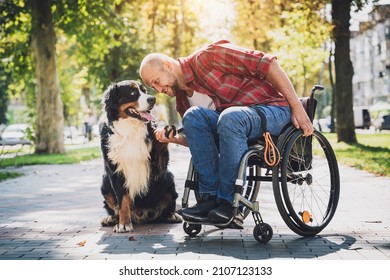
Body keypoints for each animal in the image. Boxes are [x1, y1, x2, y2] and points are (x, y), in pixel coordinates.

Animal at [99, 80, 181, 233]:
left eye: (145, 91)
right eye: (132, 92)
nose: (153, 99)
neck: (130, 130)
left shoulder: (156, 167)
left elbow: (160, 145)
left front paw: (164, 132)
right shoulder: (115, 171)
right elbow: (123, 201)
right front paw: (124, 224)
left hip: (168, 178)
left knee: (168, 207)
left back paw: (172, 215)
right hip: (105, 181)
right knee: (115, 209)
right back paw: (111, 219)